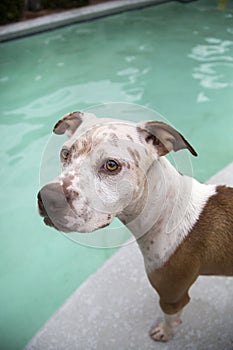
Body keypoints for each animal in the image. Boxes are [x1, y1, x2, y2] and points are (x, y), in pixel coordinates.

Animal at [37, 111, 232, 342]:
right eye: (66, 153)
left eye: (111, 165)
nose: (48, 197)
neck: (164, 212)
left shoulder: (172, 297)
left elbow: (171, 319)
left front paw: (165, 333)